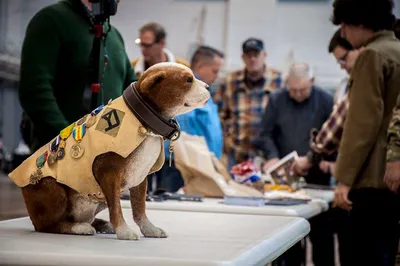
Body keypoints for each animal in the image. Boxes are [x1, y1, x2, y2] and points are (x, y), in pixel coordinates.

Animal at [9, 62, 211, 241]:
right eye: (188, 80)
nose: (209, 87)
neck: (142, 118)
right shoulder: (108, 174)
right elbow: (116, 207)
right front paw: (123, 231)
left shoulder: (140, 177)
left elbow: (140, 208)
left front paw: (149, 229)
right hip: (52, 187)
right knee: (46, 225)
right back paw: (79, 228)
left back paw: (101, 224)